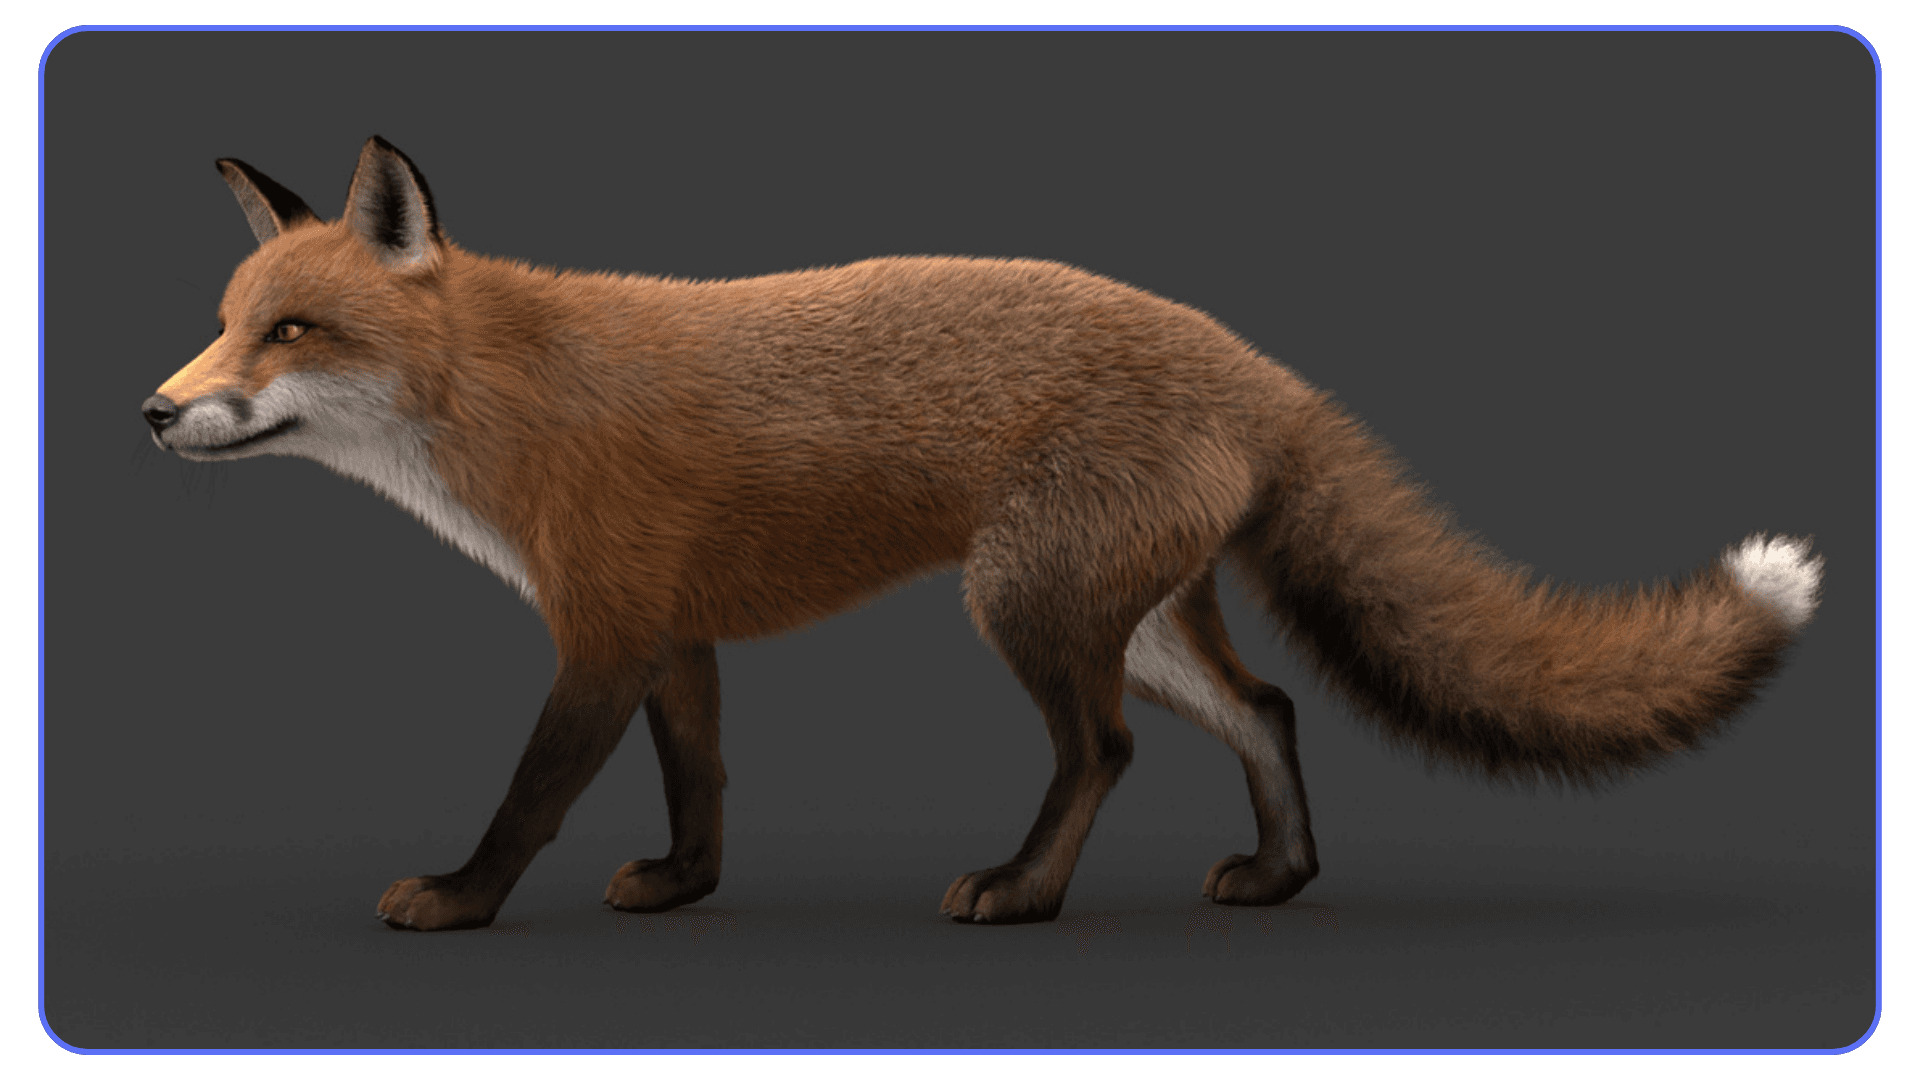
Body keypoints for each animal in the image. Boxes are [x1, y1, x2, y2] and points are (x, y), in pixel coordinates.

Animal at [143, 136, 1823, 932]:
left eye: (292, 331)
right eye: (225, 321)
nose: (155, 415)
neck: (513, 396)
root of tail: (1255, 362)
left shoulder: (605, 630)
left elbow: (530, 796)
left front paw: (459, 901)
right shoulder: (675, 631)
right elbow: (701, 784)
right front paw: (684, 888)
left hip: (1023, 605)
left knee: (1106, 752)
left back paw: (1022, 891)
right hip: (1126, 616)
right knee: (1270, 708)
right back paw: (1279, 877)